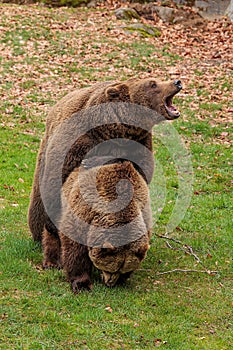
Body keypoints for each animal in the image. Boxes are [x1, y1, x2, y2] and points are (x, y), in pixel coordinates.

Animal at [28, 77, 182, 243]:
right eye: (153, 84)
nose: (177, 82)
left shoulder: (139, 143)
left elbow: (141, 170)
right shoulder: (77, 140)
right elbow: (58, 178)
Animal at [41, 159, 151, 290]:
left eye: (122, 270)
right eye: (110, 268)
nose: (110, 283)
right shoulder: (83, 214)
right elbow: (75, 248)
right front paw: (81, 283)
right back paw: (52, 262)